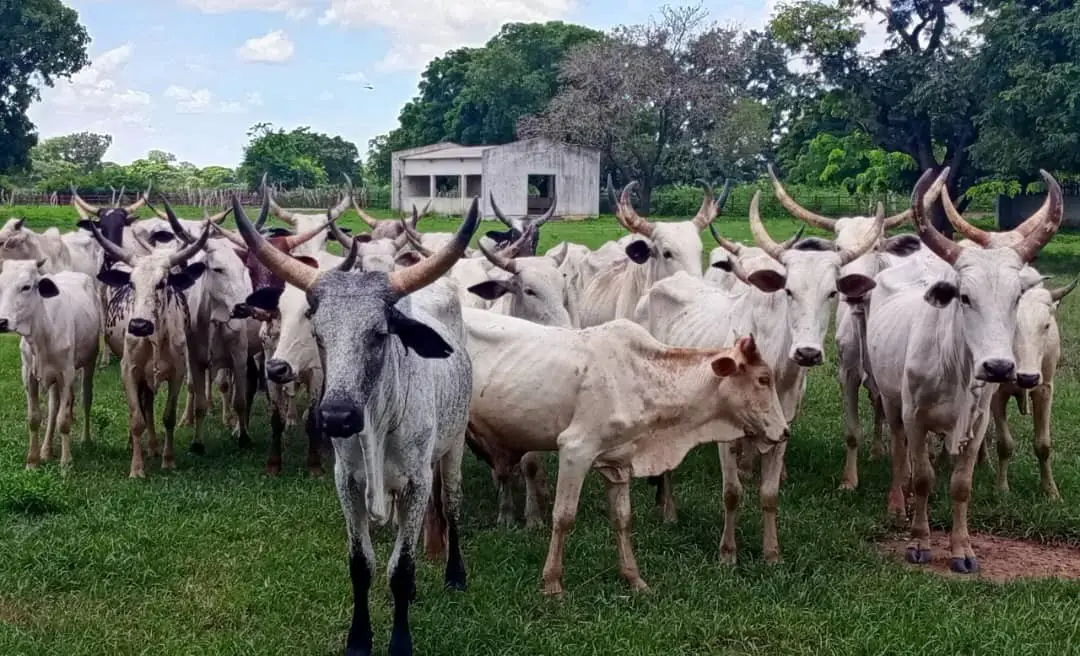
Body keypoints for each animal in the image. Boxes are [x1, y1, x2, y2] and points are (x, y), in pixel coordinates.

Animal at [0, 259, 100, 469]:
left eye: (26, 287)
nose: (2, 322)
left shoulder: (67, 374)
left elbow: (63, 420)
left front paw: (66, 463)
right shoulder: (28, 375)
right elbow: (35, 418)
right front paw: (33, 460)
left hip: (90, 361)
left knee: (86, 399)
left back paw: (85, 439)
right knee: (54, 408)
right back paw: (46, 450)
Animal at [238, 194, 479, 656]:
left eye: (380, 334)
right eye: (318, 333)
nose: (336, 416)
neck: (377, 426)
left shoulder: (418, 481)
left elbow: (401, 568)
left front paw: (400, 641)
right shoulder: (346, 481)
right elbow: (362, 564)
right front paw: (359, 637)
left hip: (454, 445)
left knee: (452, 504)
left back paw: (456, 572)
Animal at [462, 306, 786, 596]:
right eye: (763, 379)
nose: (784, 432)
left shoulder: (618, 463)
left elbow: (622, 518)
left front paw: (634, 579)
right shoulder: (575, 449)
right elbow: (563, 517)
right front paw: (552, 583)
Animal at [864, 166, 1058, 570]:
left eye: (1016, 298)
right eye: (965, 297)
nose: (999, 367)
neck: (954, 369)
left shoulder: (978, 421)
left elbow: (961, 485)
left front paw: (962, 549)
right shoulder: (915, 416)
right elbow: (922, 476)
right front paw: (919, 542)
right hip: (891, 401)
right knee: (899, 451)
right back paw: (897, 502)